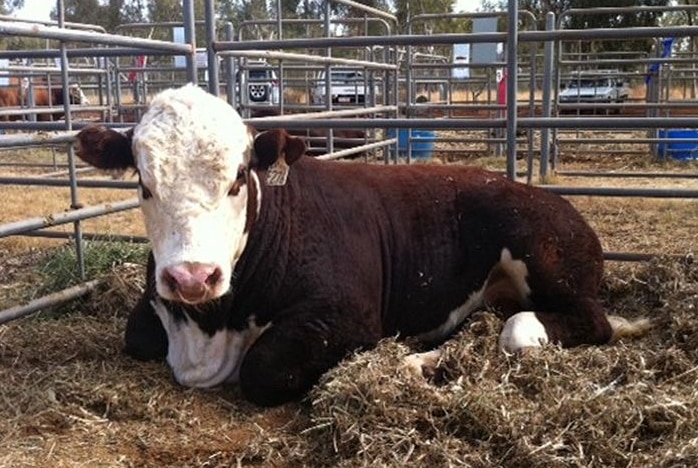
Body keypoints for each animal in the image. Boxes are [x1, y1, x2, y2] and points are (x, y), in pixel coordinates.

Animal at [76, 86, 648, 408]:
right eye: (144, 183)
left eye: (238, 177)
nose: (192, 277)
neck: (210, 327)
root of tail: (550, 198)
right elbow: (136, 335)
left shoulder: (346, 316)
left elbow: (265, 368)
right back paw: (417, 361)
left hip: (543, 252)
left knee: (548, 327)